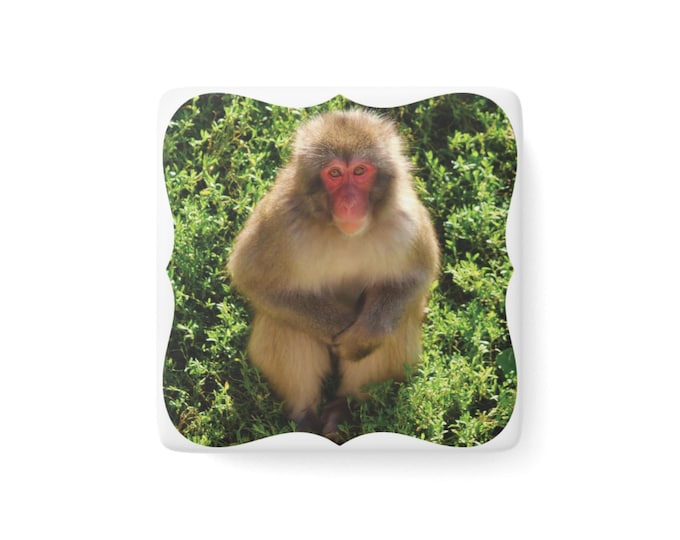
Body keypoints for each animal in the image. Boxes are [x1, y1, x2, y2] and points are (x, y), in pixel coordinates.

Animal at [227, 109, 440, 442]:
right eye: (335, 174)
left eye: (361, 171)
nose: (350, 202)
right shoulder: (280, 220)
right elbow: (254, 278)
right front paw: (338, 327)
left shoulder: (407, 221)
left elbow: (414, 278)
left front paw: (361, 338)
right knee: (286, 322)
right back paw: (305, 415)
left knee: (396, 322)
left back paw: (343, 407)